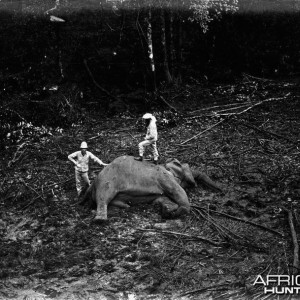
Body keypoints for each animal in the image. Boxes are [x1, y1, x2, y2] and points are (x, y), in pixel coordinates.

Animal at [80, 156, 223, 221]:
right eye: (186, 166)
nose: (221, 190)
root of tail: (93, 183)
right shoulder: (164, 177)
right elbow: (177, 191)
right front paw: (175, 212)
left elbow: (160, 199)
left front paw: (167, 211)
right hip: (107, 181)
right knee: (104, 197)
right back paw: (100, 220)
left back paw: (125, 206)